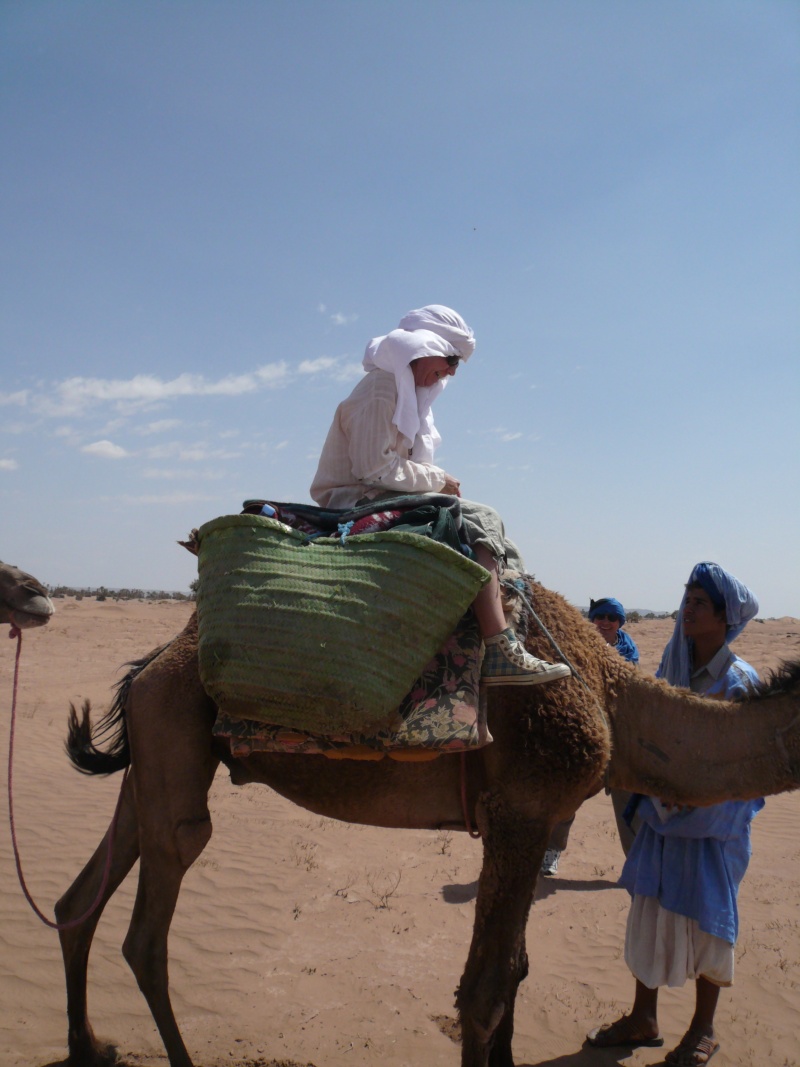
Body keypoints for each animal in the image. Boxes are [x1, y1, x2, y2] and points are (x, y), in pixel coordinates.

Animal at [57, 584, 800, 1067]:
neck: (619, 701)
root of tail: (152, 661)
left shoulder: (532, 820)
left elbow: (515, 970)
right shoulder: (522, 810)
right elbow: (485, 990)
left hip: (155, 750)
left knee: (79, 899)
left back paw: (90, 1046)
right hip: (175, 733)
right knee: (150, 927)